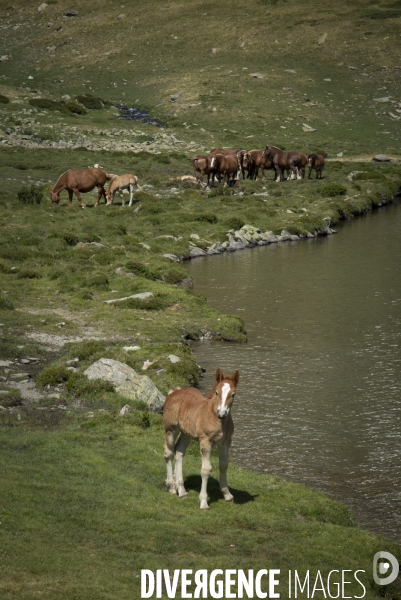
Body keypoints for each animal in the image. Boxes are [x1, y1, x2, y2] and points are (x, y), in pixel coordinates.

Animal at [162, 368, 239, 508]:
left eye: (233, 394)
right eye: (217, 392)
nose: (222, 413)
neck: (216, 419)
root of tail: (174, 391)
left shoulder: (225, 442)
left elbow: (224, 465)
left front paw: (227, 495)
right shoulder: (205, 441)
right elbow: (206, 470)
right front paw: (203, 502)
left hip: (186, 433)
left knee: (179, 452)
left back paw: (182, 490)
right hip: (171, 429)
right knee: (168, 452)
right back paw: (171, 487)